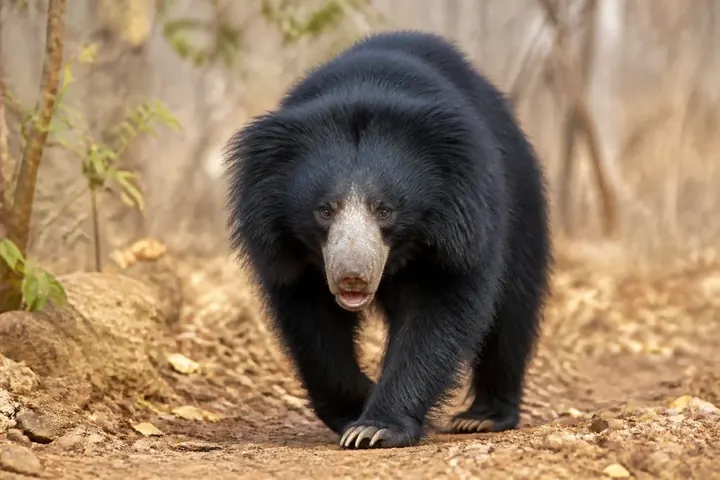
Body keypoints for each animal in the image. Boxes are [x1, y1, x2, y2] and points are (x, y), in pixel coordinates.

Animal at [224, 30, 552, 449]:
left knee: (512, 312)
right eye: (325, 209)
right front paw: (355, 403)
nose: (352, 275)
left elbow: (438, 314)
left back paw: (484, 417)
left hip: (521, 206)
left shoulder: (461, 228)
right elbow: (310, 324)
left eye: (384, 209)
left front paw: (375, 427)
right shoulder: (287, 249)